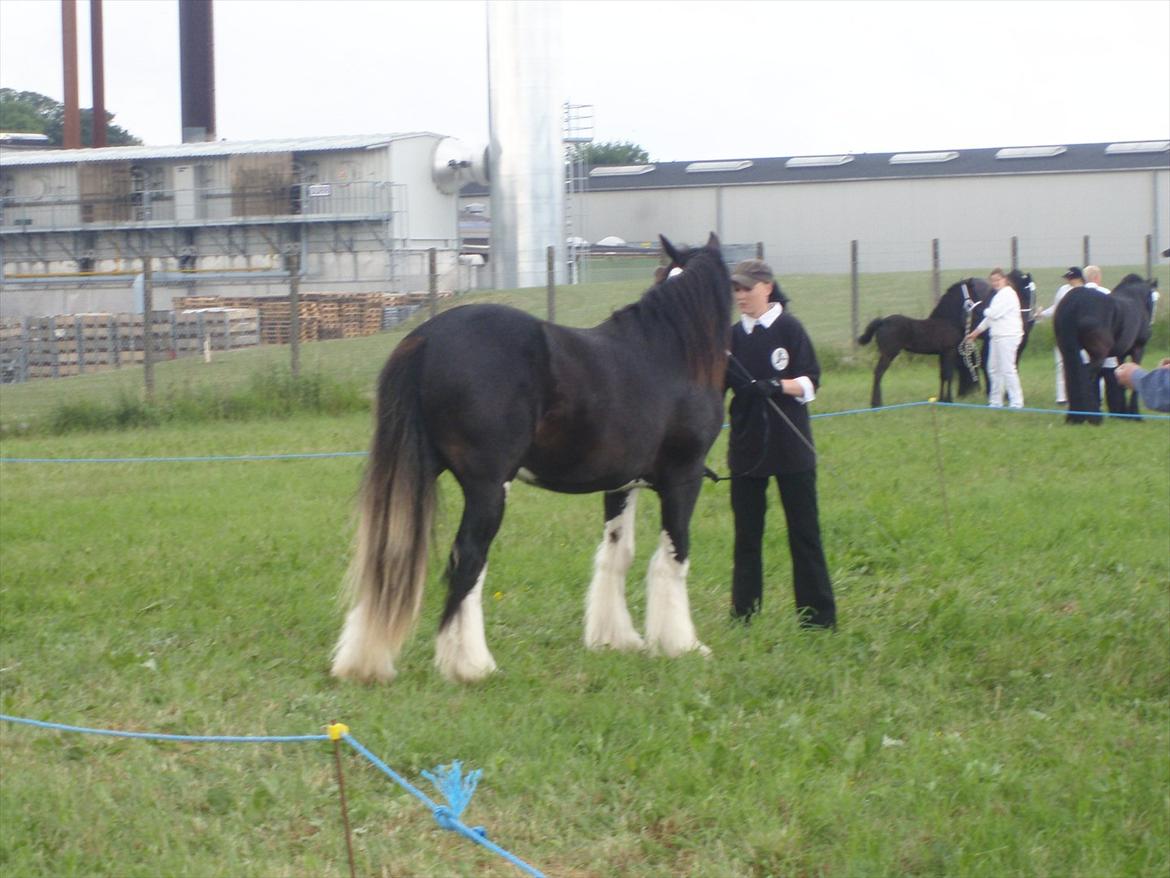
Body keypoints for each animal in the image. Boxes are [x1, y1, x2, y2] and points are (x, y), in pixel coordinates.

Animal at [332, 234, 730, 688]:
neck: (671, 352)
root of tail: (427, 338)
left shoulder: (621, 485)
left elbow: (618, 554)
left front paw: (615, 639)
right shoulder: (684, 478)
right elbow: (674, 556)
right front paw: (682, 645)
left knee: (387, 556)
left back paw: (365, 662)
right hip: (488, 488)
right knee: (469, 559)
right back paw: (471, 665)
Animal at [856, 278, 992, 409]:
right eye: (973, 290)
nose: (983, 308)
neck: (946, 320)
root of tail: (882, 321)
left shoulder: (942, 354)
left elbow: (942, 375)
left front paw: (942, 400)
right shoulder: (950, 351)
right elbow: (949, 375)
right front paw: (949, 400)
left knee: (877, 373)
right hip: (888, 354)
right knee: (879, 373)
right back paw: (877, 404)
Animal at [1057, 275, 1155, 426]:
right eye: (1151, 296)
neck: (1134, 297)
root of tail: (1075, 302)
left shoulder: (1121, 354)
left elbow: (1122, 380)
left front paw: (1124, 414)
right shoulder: (1138, 349)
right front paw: (1135, 415)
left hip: (1068, 351)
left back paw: (1074, 417)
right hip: (1098, 354)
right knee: (1086, 378)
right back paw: (1093, 417)